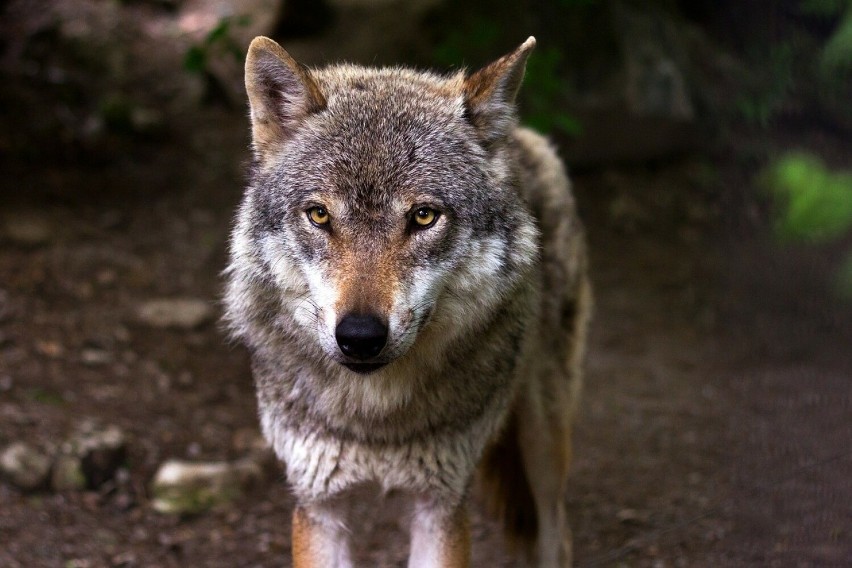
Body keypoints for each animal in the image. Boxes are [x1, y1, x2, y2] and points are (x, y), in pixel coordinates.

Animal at [223, 36, 588, 568]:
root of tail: (518, 135)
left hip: (544, 441)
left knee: (557, 532)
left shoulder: (440, 505)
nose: (360, 337)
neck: (375, 419)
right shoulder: (319, 505)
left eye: (423, 216)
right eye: (319, 215)